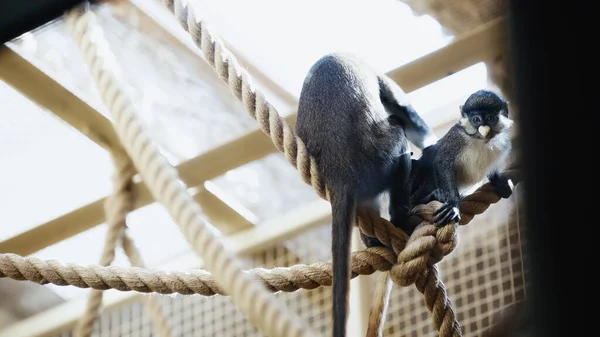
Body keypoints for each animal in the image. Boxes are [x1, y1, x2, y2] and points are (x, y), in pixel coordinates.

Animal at [390, 88, 516, 232]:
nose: (484, 129)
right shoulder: (456, 137)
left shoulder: (503, 143)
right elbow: (441, 161)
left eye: (490, 118)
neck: (480, 140)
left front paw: (500, 183)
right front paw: (453, 204)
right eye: (476, 119)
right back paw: (430, 197)